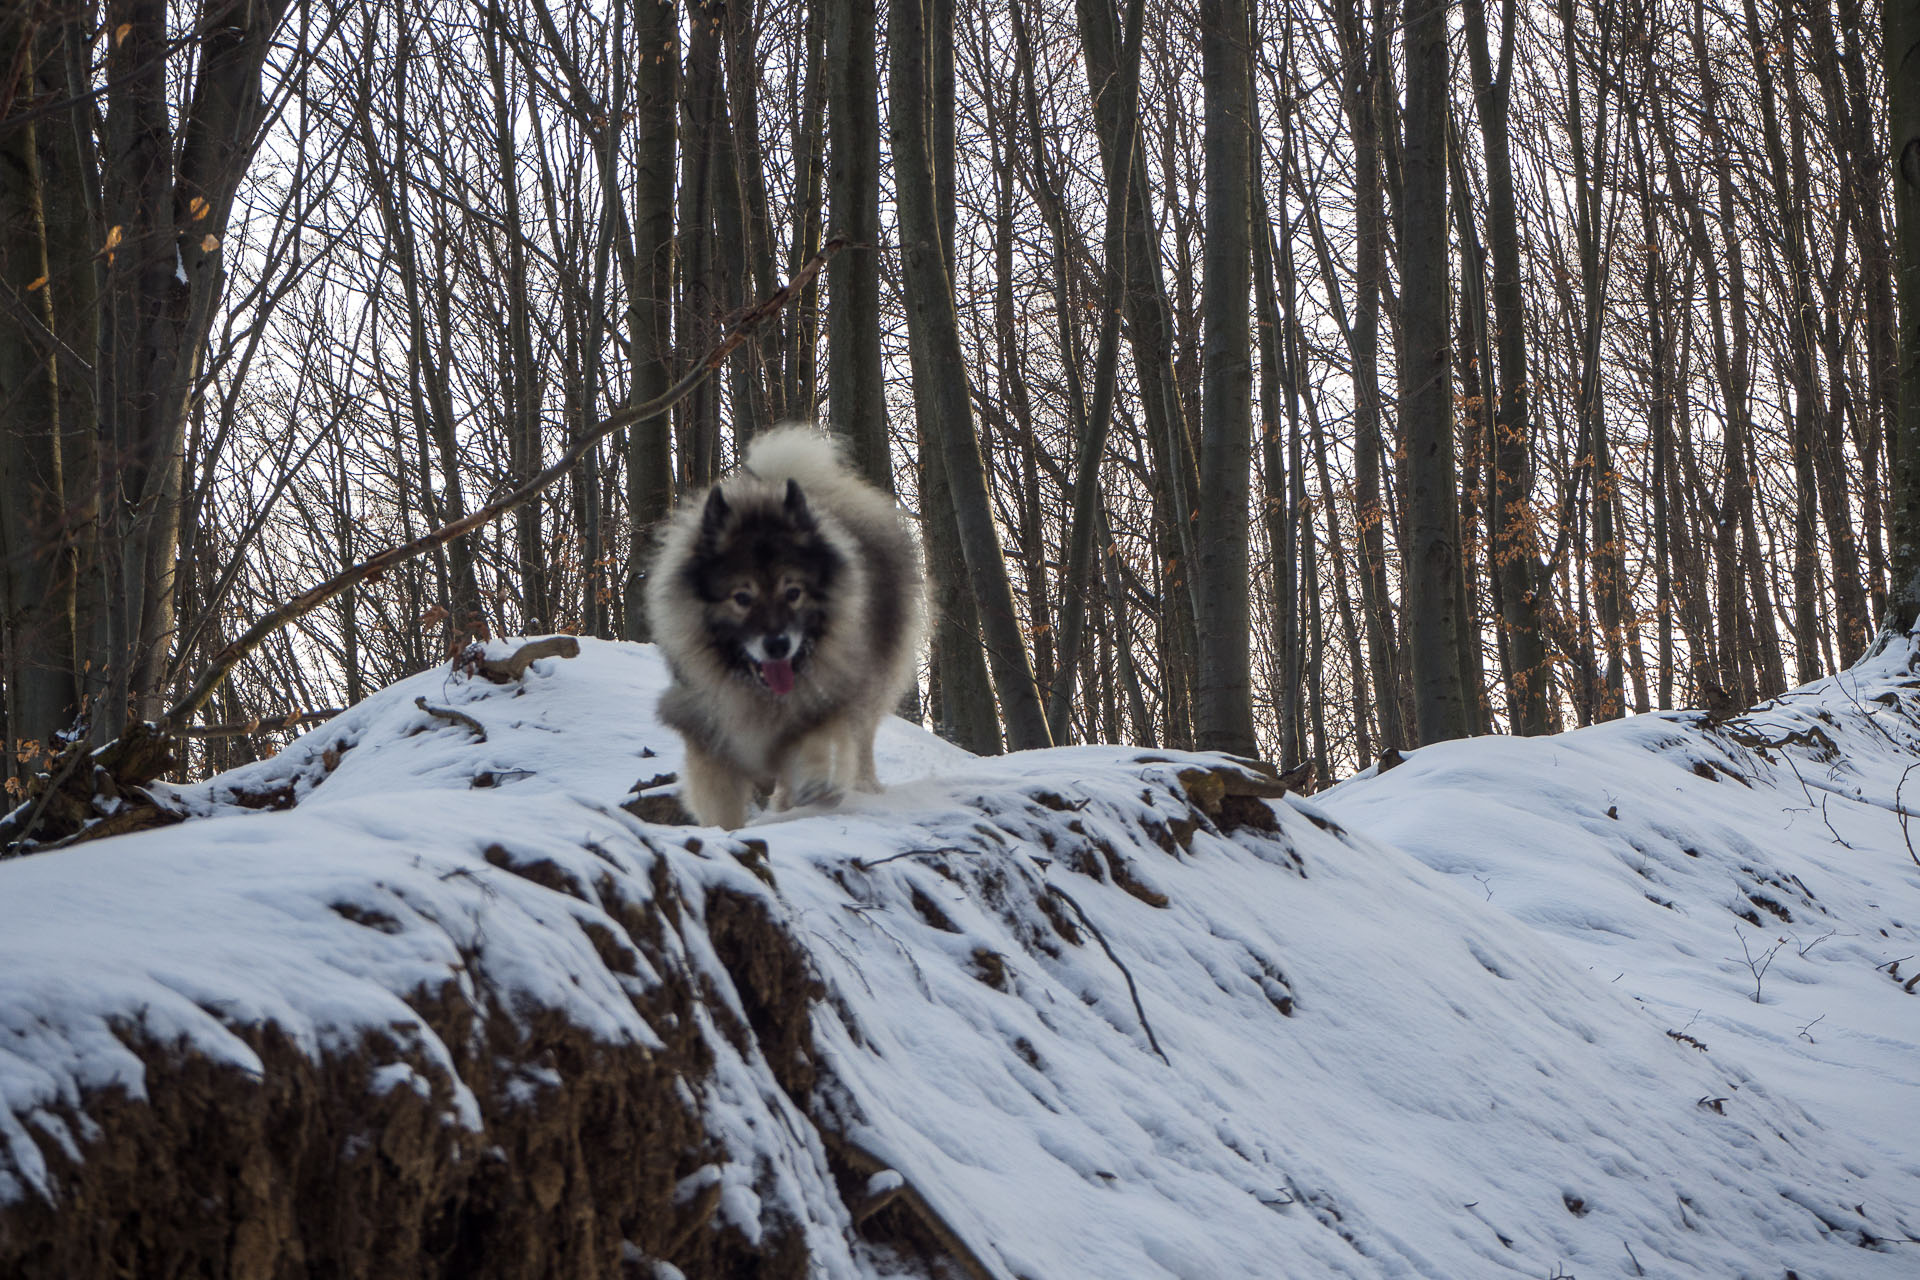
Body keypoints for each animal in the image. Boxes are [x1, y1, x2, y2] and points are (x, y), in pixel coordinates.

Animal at [645, 426, 929, 832]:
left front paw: (817, 783)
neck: (758, 693)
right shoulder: (708, 737)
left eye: (793, 593)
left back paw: (862, 788)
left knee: (861, 743)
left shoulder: (826, 700)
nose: (778, 644)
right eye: (742, 597)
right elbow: (722, 811)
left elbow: (820, 744)